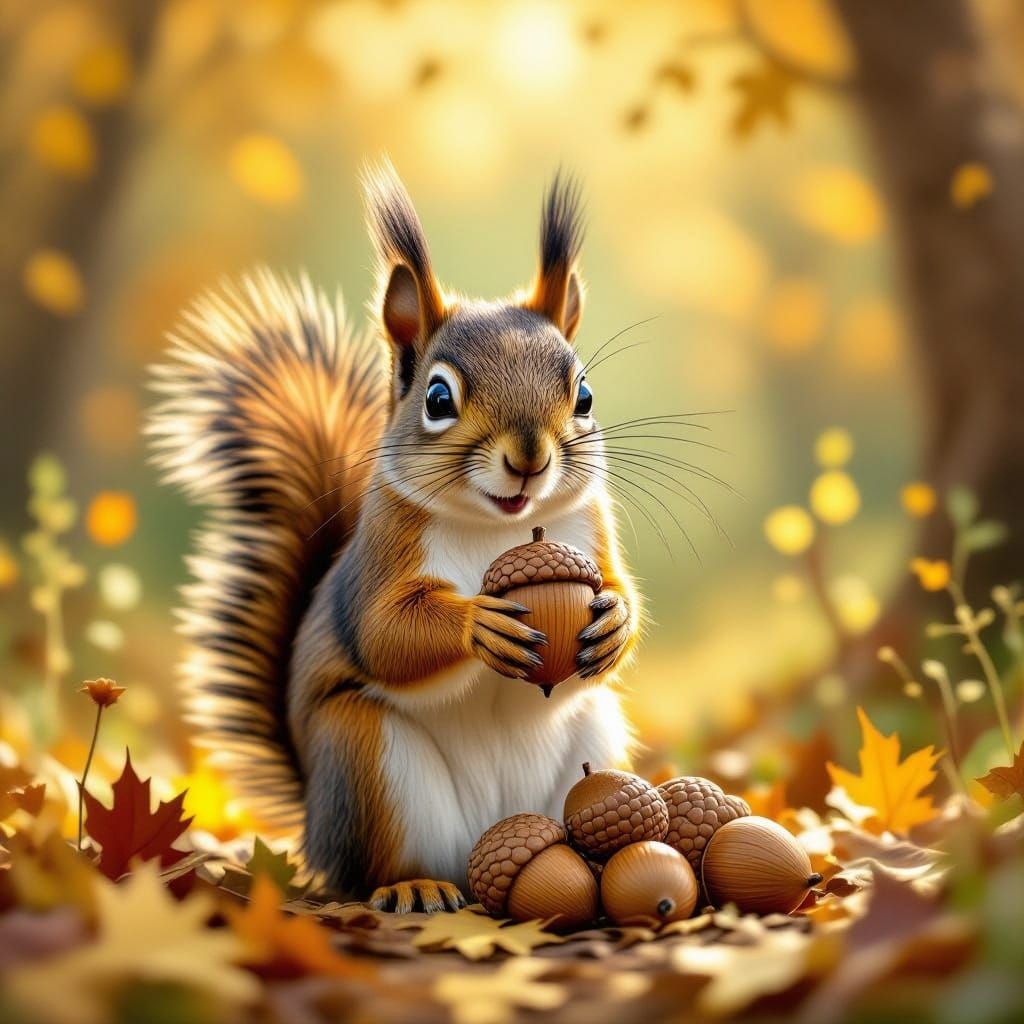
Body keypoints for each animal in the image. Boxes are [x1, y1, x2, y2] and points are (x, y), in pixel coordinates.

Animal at [148, 162, 641, 913]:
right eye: (437, 399)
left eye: (583, 396)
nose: (530, 457)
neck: (500, 527)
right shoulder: (381, 556)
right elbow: (384, 633)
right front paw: (476, 624)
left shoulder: (590, 529)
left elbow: (620, 594)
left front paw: (613, 620)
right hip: (367, 762)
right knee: (376, 868)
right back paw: (413, 886)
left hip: (594, 736)